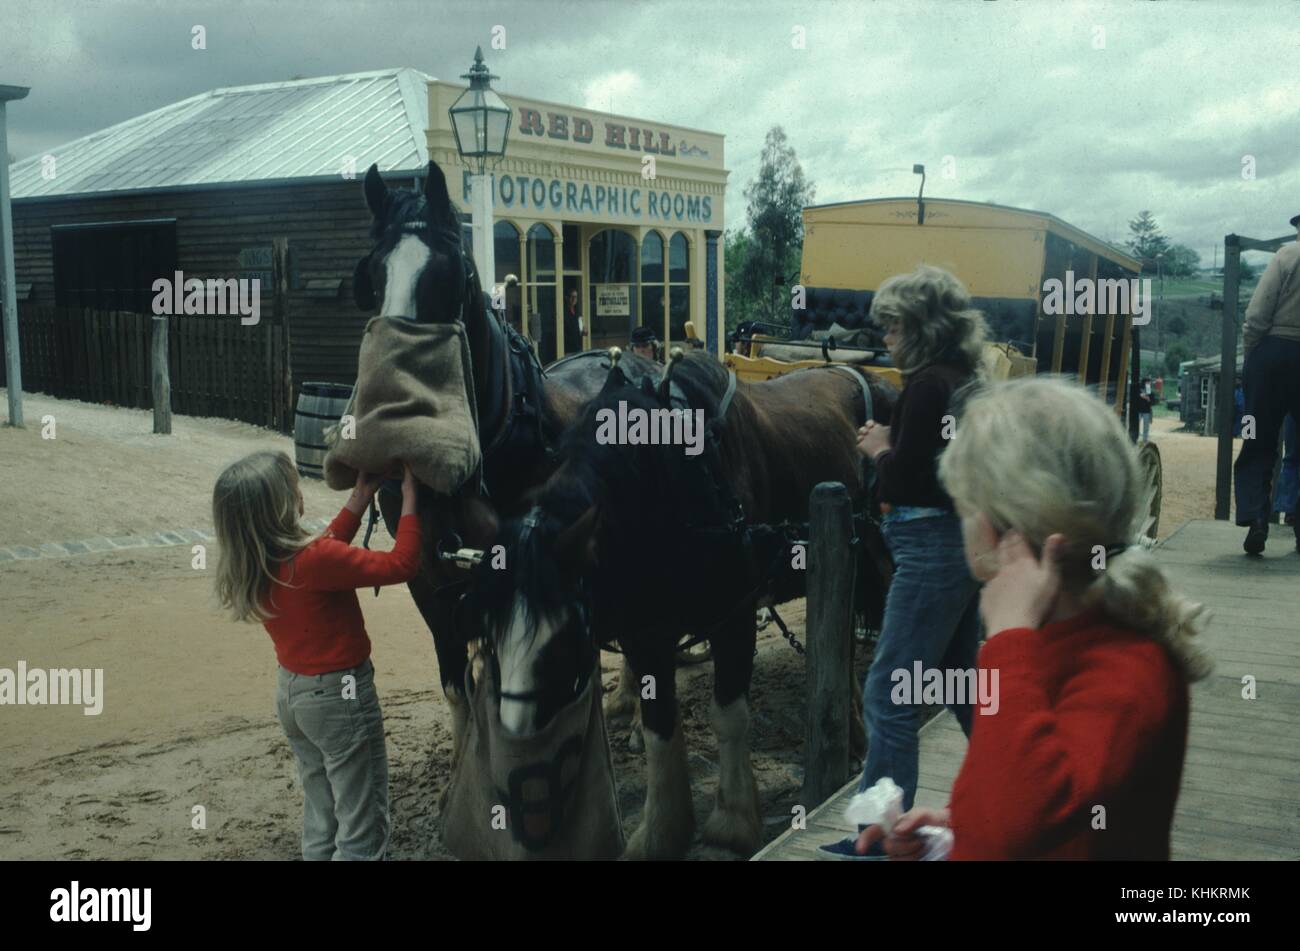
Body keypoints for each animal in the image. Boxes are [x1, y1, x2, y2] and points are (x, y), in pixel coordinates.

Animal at [473, 353, 899, 857]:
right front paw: (662, 831)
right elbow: (659, 724)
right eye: (490, 638)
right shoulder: (644, 632)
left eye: (565, 637)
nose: (516, 744)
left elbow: (728, 714)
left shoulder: (735, 616)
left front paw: (732, 822)